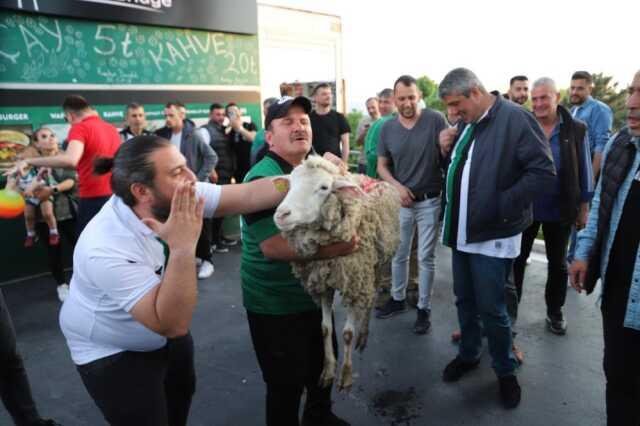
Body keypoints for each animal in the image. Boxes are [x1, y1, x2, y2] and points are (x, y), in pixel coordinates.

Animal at [272, 155, 400, 392]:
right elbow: (324, 328)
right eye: (290, 184)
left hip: (378, 264)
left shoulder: (353, 283)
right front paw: (328, 371)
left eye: (324, 187)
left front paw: (346, 376)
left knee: (370, 298)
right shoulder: (322, 283)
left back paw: (363, 335)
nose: (281, 215)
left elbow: (347, 333)